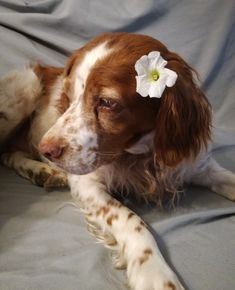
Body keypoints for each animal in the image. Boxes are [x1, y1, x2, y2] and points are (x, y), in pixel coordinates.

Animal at [0, 32, 235, 288]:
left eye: (107, 103)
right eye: (69, 95)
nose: (46, 148)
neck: (143, 155)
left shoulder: (195, 164)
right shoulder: (87, 184)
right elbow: (130, 219)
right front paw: (153, 272)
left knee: (9, 153)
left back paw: (42, 172)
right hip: (27, 85)